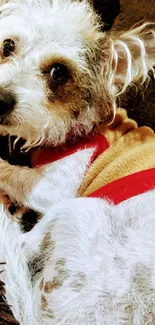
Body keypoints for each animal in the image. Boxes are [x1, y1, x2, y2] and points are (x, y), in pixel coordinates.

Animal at [0, 0, 155, 324]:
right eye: (8, 46)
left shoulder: (56, 187)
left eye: (59, 72)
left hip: (81, 209)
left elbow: (10, 172)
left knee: (18, 247)